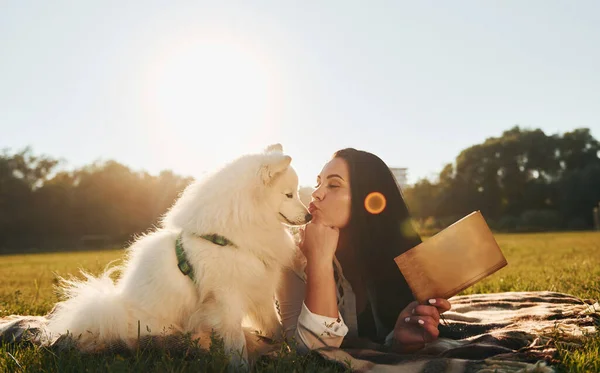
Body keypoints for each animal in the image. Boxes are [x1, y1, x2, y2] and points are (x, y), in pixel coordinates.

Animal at [46, 144, 310, 368]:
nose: (309, 216)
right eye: (289, 195)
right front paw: (243, 366)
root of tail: (115, 313)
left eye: (295, 193)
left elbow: (276, 327)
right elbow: (237, 343)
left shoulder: (260, 291)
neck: (228, 236)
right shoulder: (227, 299)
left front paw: (288, 355)